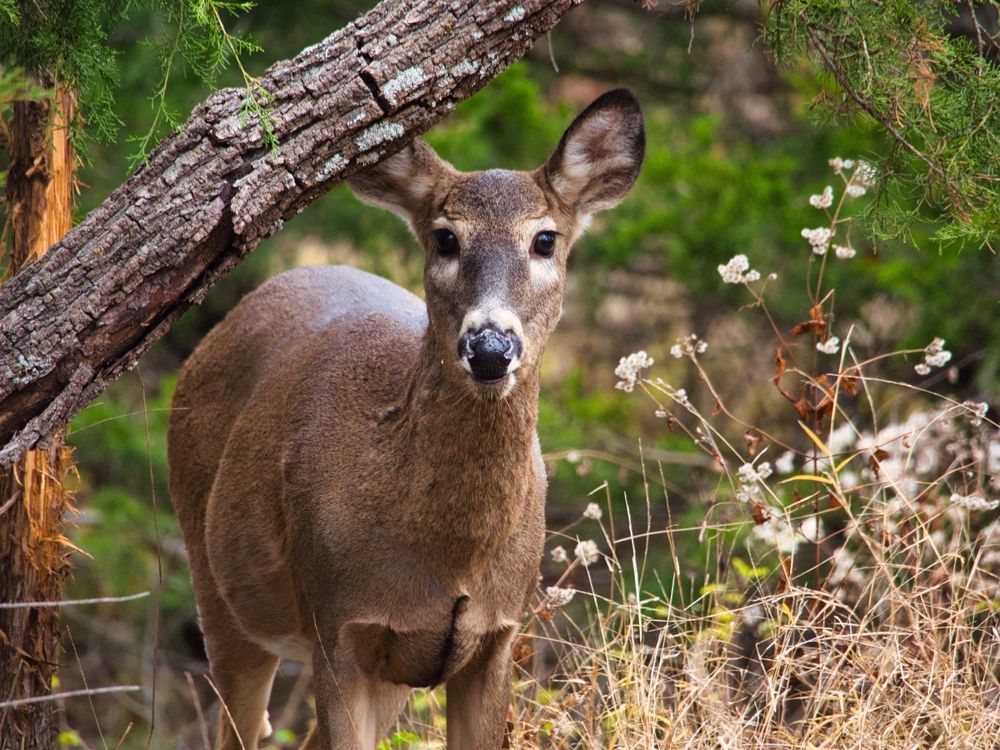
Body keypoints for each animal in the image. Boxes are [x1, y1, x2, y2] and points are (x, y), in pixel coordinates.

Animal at [167, 89, 644, 750]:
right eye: (445, 239)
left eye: (545, 239)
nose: (490, 349)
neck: (450, 555)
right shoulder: (338, 623)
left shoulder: (497, 636)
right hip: (218, 586)